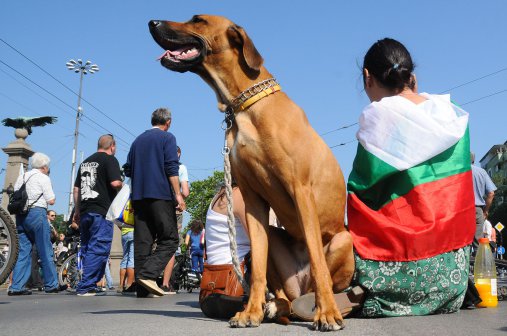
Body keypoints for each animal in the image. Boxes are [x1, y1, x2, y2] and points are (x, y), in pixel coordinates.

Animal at [150, 15, 354, 330]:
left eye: (197, 20)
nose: (152, 22)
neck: (246, 105)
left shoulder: (301, 190)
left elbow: (319, 262)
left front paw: (328, 313)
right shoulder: (252, 199)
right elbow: (256, 266)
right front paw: (251, 312)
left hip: (345, 239)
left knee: (323, 279)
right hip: (276, 242)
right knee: (283, 292)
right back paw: (274, 305)